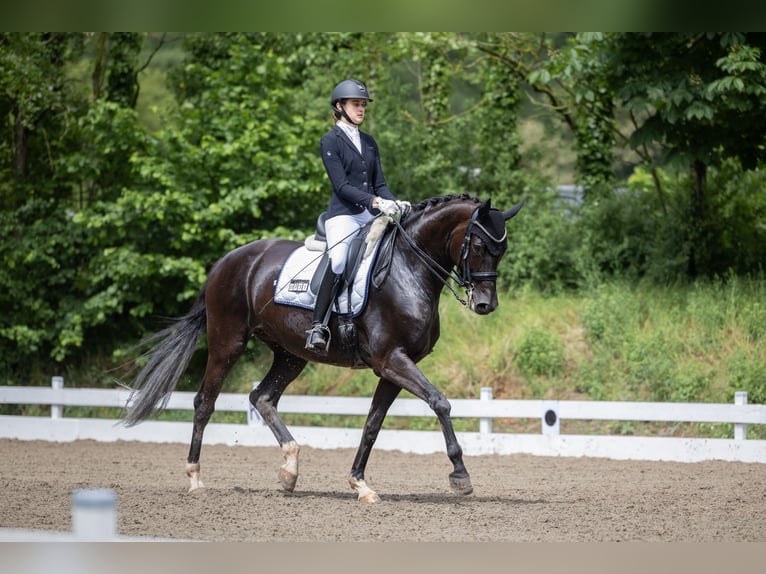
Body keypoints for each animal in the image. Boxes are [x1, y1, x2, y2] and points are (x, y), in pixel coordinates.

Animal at [123, 194, 524, 504]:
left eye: (502, 250)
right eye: (478, 246)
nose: (486, 305)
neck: (407, 271)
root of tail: (227, 261)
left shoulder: (394, 366)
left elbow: (373, 424)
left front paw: (360, 484)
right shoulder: (391, 360)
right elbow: (440, 402)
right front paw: (460, 474)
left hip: (291, 354)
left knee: (262, 398)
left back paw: (289, 469)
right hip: (228, 342)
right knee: (204, 403)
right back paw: (195, 479)